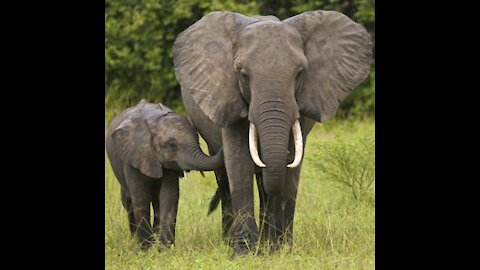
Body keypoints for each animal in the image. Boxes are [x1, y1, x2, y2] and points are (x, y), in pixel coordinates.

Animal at [106, 99, 224, 249]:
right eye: (172, 144)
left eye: (198, 140)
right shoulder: (133, 155)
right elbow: (140, 197)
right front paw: (145, 249)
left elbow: (169, 196)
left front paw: (165, 249)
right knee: (128, 201)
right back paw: (134, 238)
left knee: (156, 203)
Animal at [173, 10, 376, 255]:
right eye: (243, 75)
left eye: (299, 74)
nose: (270, 244)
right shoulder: (227, 95)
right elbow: (238, 162)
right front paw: (243, 253)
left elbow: (290, 166)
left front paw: (280, 250)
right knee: (225, 178)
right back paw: (230, 240)